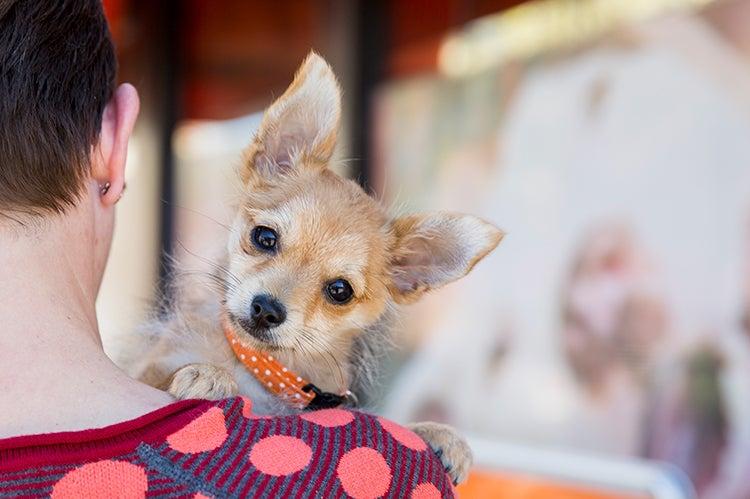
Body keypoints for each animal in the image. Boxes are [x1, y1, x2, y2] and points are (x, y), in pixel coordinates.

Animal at [123, 52, 506, 486]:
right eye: (264, 237)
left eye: (340, 291)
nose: (266, 310)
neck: (266, 372)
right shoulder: (142, 368)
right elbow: (160, 373)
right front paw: (207, 375)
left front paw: (439, 433)